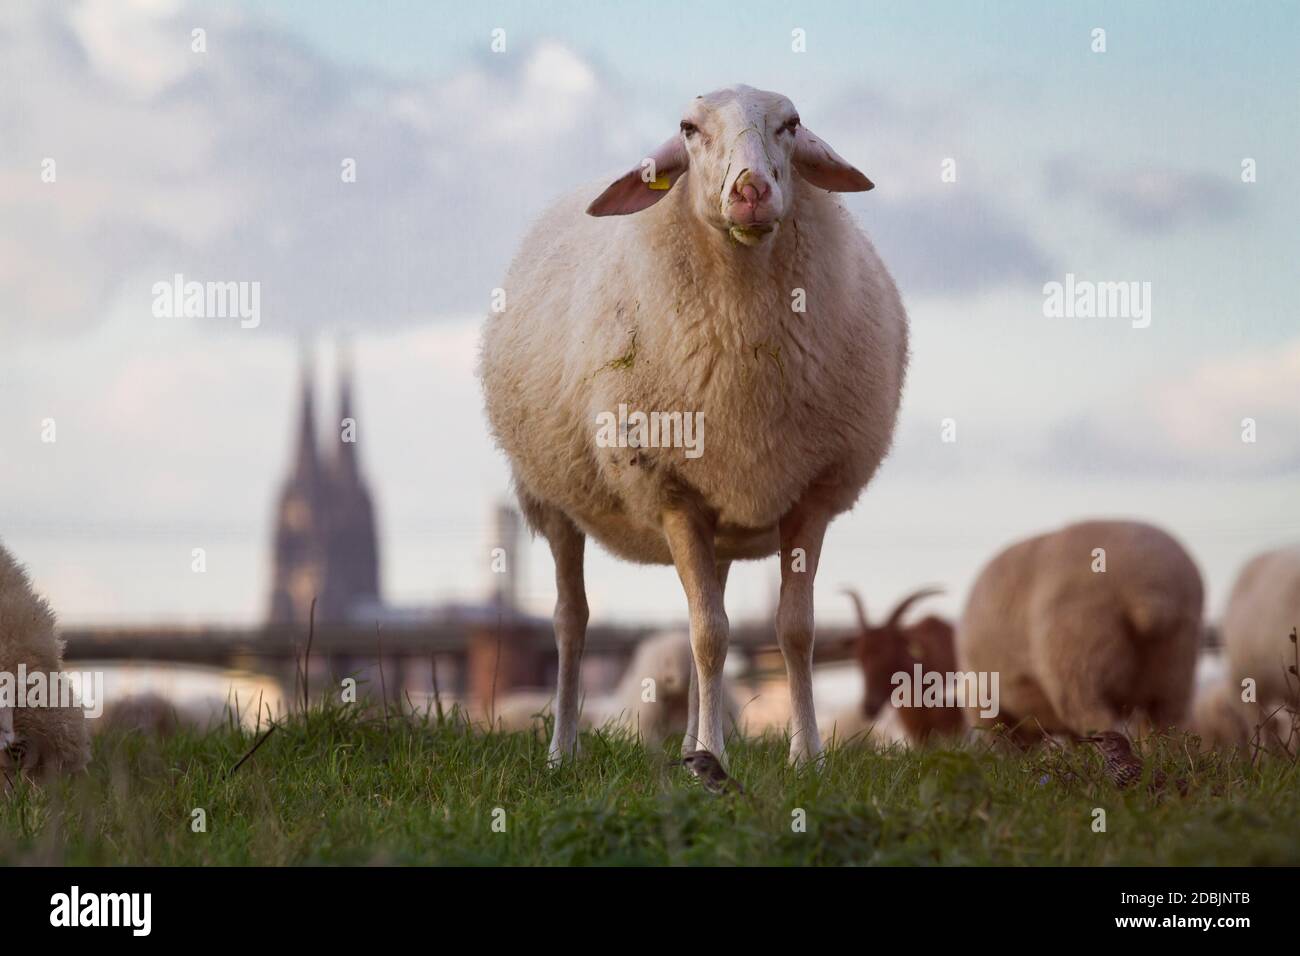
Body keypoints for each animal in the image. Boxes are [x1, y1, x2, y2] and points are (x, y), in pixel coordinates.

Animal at [478, 85, 904, 764]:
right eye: (688, 128)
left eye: (791, 124)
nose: (751, 190)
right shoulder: (673, 493)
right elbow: (709, 636)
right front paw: (714, 756)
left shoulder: (810, 496)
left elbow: (794, 631)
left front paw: (804, 755)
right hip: (551, 499)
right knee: (572, 620)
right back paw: (563, 749)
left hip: (722, 515)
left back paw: (686, 740)